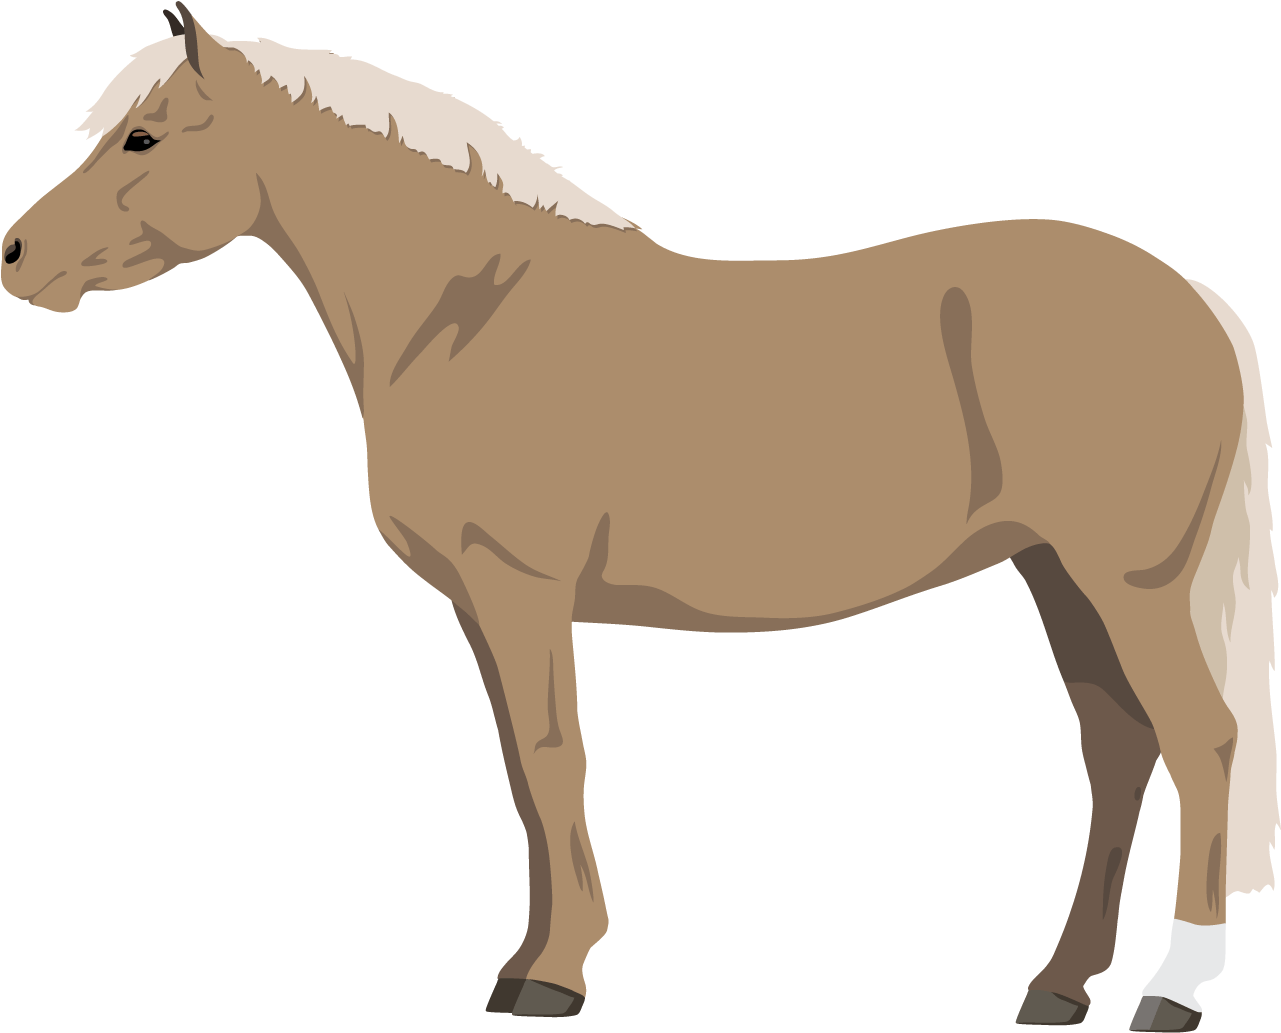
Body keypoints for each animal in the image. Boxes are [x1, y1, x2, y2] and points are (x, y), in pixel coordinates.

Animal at [4, 5, 1275, 1024]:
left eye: (144, 139)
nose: (15, 258)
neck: (470, 311)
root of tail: (1189, 295)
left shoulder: (519, 588)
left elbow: (552, 758)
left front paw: (548, 975)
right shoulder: (482, 606)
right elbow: (524, 770)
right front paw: (542, 952)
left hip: (1127, 581)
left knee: (1201, 741)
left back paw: (1170, 989)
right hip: (1056, 574)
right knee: (1118, 746)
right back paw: (1058, 986)